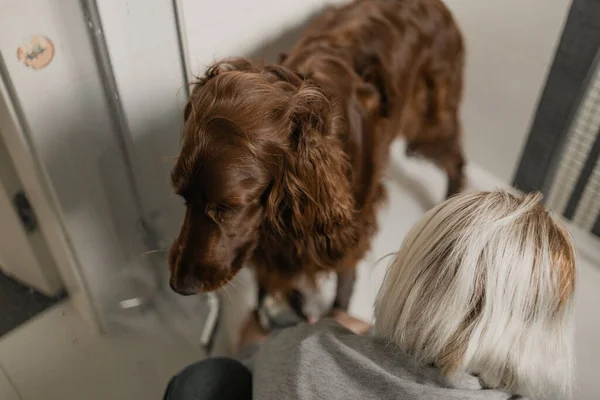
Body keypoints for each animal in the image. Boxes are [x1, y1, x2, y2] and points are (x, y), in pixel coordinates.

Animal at [168, 0, 464, 318]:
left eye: (228, 206)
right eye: (182, 196)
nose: (179, 286)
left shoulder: (348, 230)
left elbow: (342, 288)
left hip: (428, 123)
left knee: (456, 161)